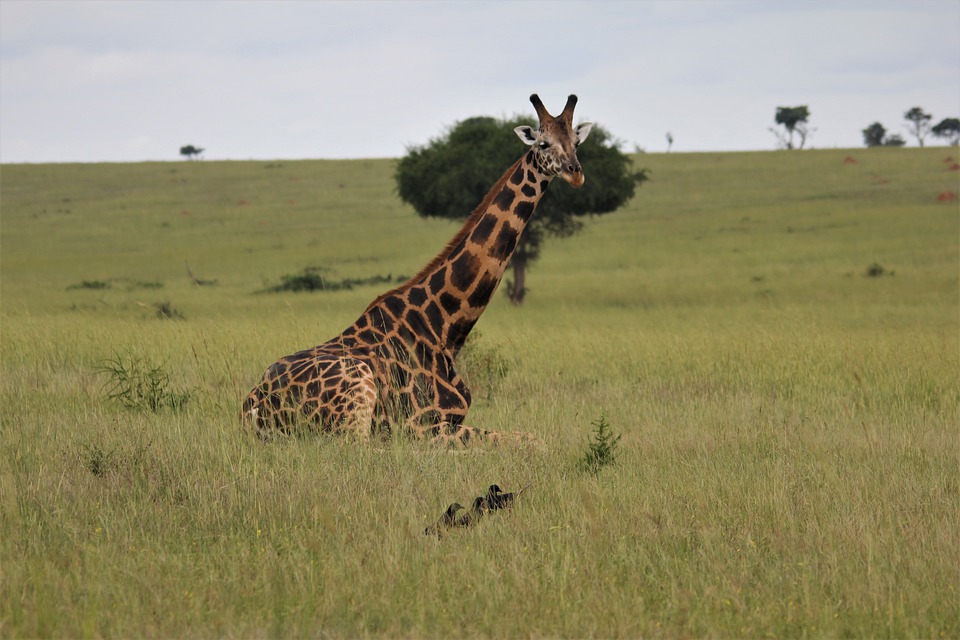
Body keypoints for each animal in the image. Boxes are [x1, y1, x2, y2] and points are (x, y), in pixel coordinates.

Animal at [244, 95, 592, 444]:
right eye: (543, 143)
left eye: (576, 142)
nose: (575, 173)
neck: (445, 328)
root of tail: (253, 407)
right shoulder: (424, 426)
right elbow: (532, 441)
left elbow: (533, 439)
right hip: (358, 393)